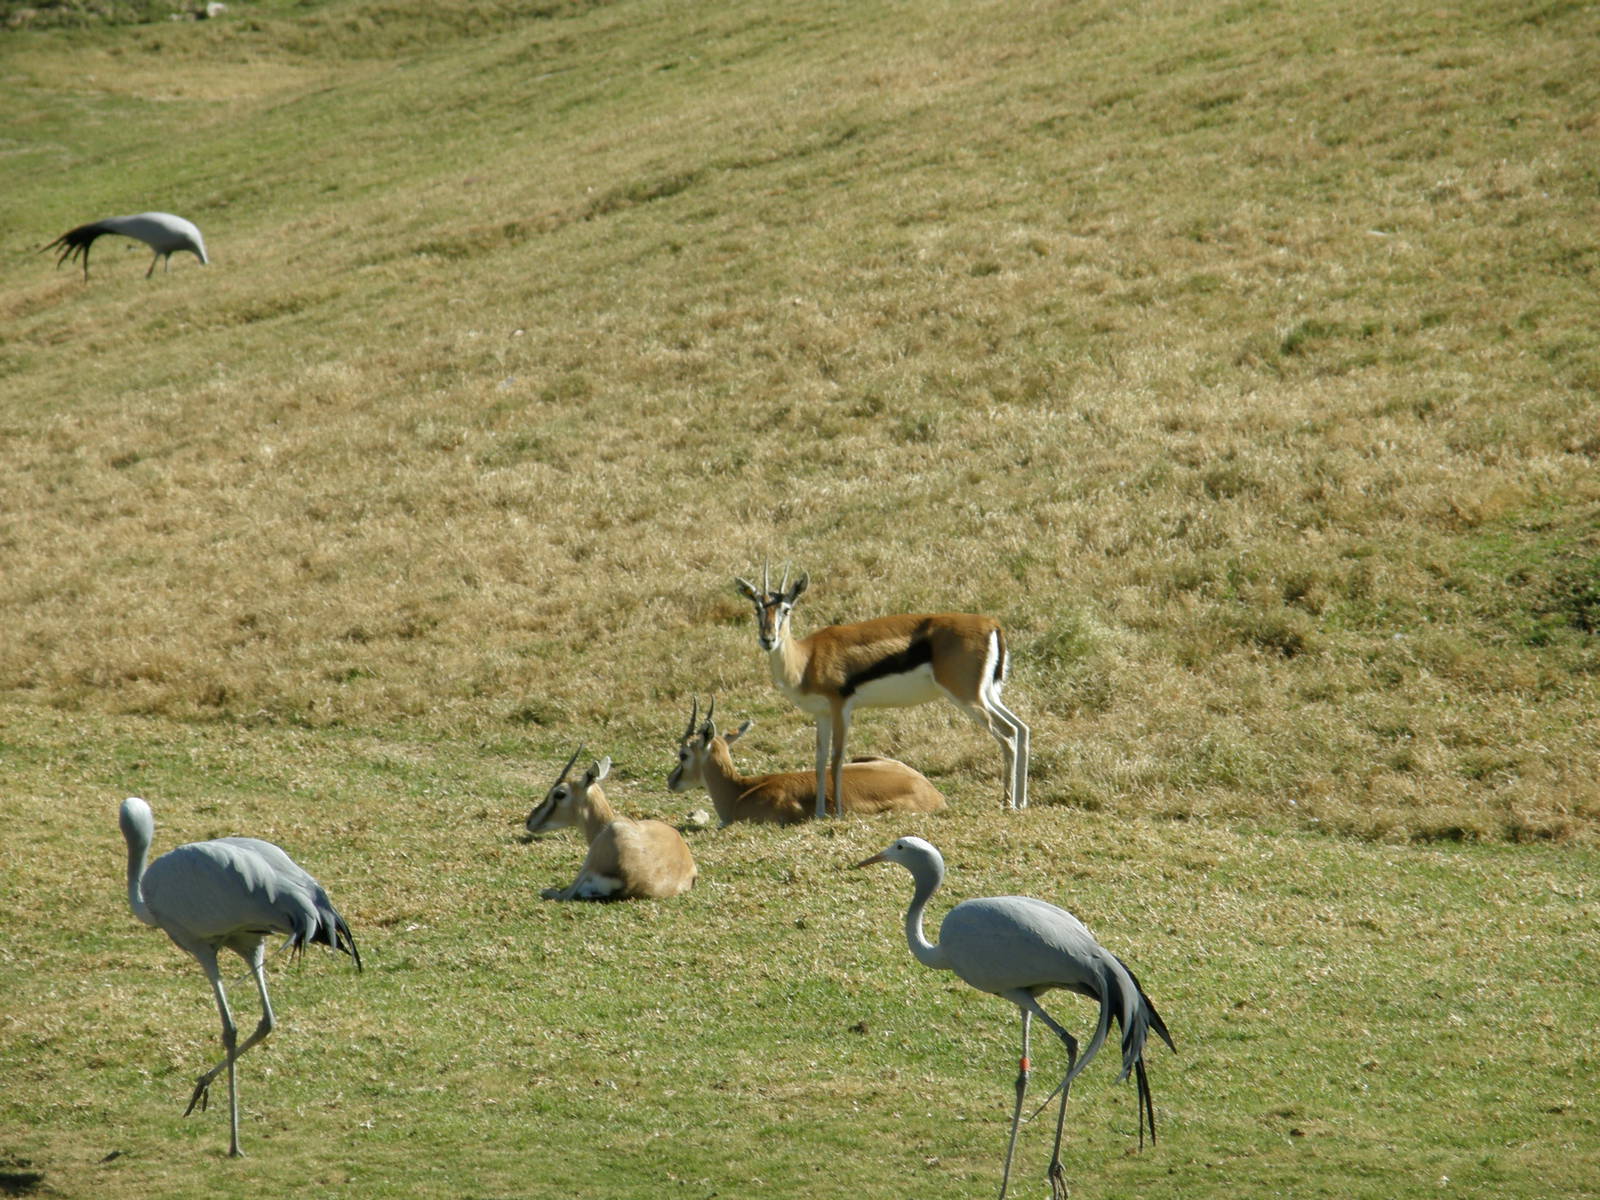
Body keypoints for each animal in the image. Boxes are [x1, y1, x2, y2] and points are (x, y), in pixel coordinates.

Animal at [735, 564, 1029, 817]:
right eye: (757, 608)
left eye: (786, 609)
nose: (768, 639)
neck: (806, 658)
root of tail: (991, 624)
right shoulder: (822, 714)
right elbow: (820, 760)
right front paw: (819, 813)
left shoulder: (841, 706)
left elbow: (837, 757)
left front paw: (836, 813)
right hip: (987, 695)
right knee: (1021, 728)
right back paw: (1021, 802)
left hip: (967, 697)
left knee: (1007, 735)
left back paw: (1007, 803)